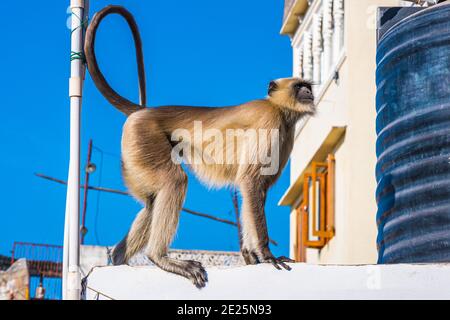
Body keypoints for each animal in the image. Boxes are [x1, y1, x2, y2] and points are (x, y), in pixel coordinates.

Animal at [84, 6, 316, 288]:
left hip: (135, 154)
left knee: (151, 201)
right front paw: (266, 255)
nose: (308, 92)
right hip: (143, 138)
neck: (278, 109)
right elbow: (250, 181)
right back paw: (161, 258)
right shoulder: (270, 120)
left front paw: (251, 255)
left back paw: (119, 258)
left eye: (307, 86)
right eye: (298, 86)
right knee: (174, 181)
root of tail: (145, 111)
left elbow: (257, 188)